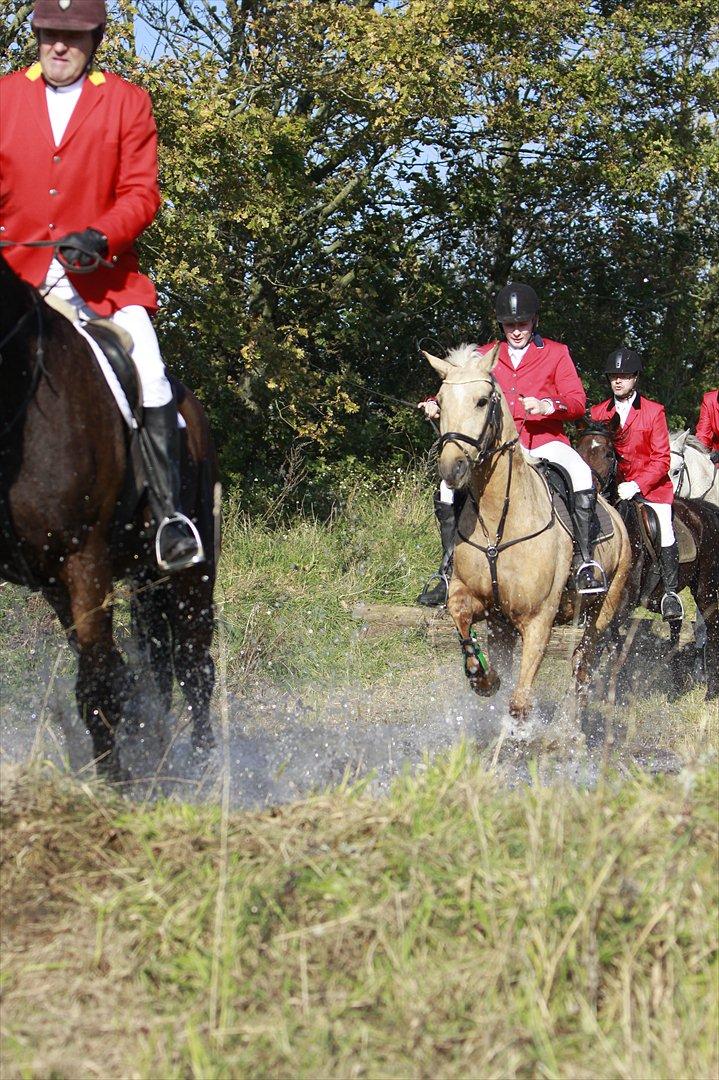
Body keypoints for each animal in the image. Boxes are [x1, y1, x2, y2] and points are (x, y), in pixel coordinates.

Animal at [0, 248, 218, 773]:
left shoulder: (86, 559)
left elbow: (99, 687)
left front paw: (113, 784)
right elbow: (111, 677)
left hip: (191, 568)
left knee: (194, 664)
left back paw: (205, 767)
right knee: (156, 669)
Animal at [423, 345, 630, 717]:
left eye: (481, 401)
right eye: (441, 402)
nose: (451, 468)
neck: (498, 521)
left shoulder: (537, 620)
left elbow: (519, 702)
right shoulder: (483, 605)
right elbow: (460, 613)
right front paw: (482, 676)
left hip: (602, 611)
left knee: (583, 664)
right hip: (505, 625)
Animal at [570, 412, 716, 699]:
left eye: (609, 454)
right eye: (579, 452)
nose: (588, 496)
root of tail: (705, 510)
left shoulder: (623, 603)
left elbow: (612, 644)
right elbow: (609, 644)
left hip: (706, 591)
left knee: (710, 628)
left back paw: (709, 691)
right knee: (677, 623)